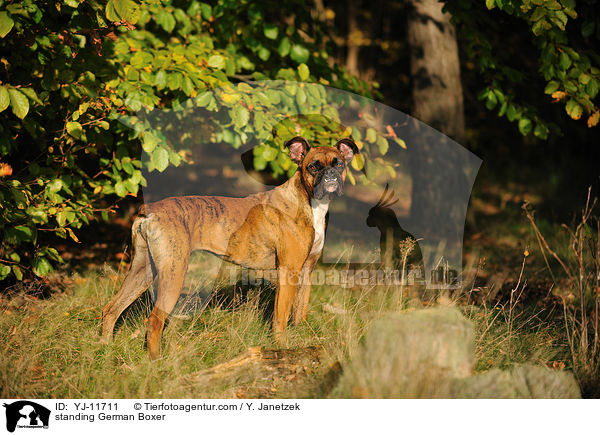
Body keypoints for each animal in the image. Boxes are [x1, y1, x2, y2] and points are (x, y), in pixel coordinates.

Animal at [101, 137, 358, 362]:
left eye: (339, 164)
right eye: (313, 167)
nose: (331, 175)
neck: (307, 201)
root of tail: (150, 211)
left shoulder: (306, 272)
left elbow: (300, 311)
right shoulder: (289, 272)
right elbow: (281, 318)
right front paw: (282, 348)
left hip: (143, 271)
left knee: (111, 309)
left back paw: (105, 349)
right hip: (173, 273)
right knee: (154, 320)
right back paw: (155, 363)